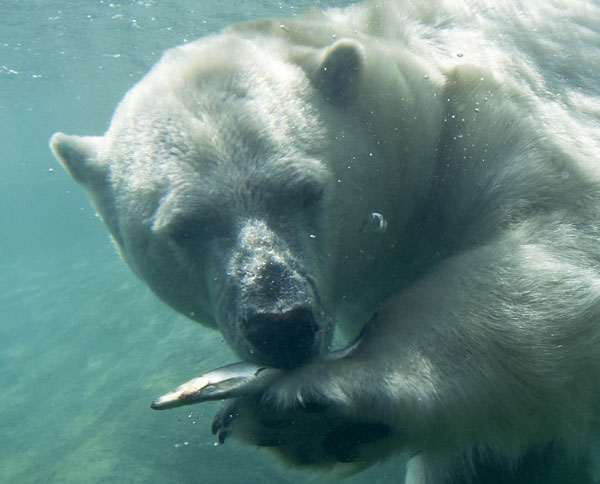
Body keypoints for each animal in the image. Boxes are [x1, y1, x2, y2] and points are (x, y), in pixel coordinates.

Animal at [50, 0, 600, 482]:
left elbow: (555, 246)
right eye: (183, 228)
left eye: (306, 190)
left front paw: (304, 406)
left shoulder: (498, 111)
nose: (280, 323)